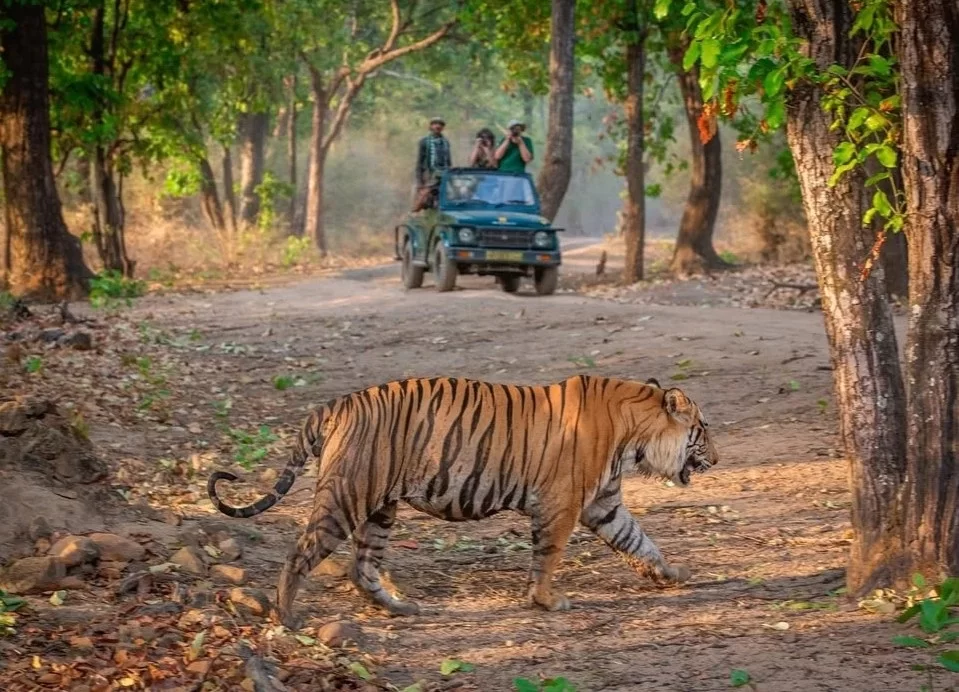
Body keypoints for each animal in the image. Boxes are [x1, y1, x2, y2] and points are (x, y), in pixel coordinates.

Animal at [207, 375, 718, 628]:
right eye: (704, 429)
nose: (717, 458)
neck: (635, 434)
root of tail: (335, 404)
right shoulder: (562, 504)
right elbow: (549, 556)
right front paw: (546, 600)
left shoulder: (603, 504)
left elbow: (639, 540)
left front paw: (673, 573)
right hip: (346, 497)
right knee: (300, 554)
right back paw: (287, 616)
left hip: (379, 509)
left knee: (362, 567)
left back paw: (399, 608)